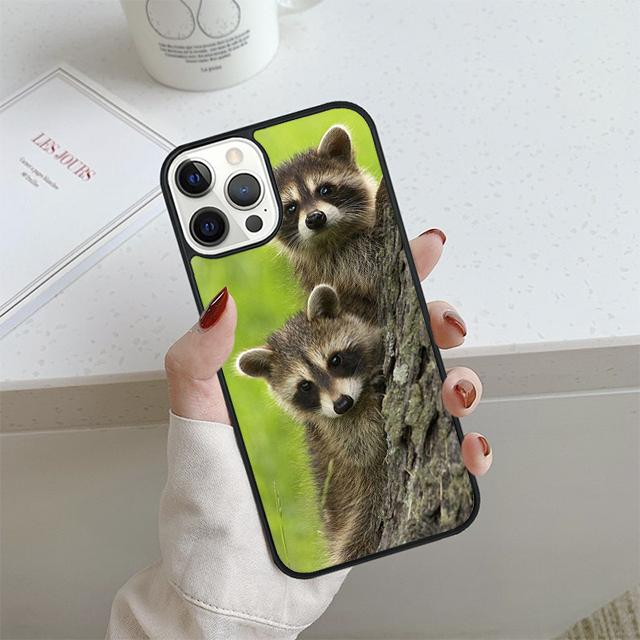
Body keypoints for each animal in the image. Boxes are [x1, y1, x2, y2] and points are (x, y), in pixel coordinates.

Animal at [236, 284, 387, 564]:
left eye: (335, 360)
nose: (342, 404)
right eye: (305, 386)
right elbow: (363, 447)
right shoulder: (330, 430)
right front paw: (371, 402)